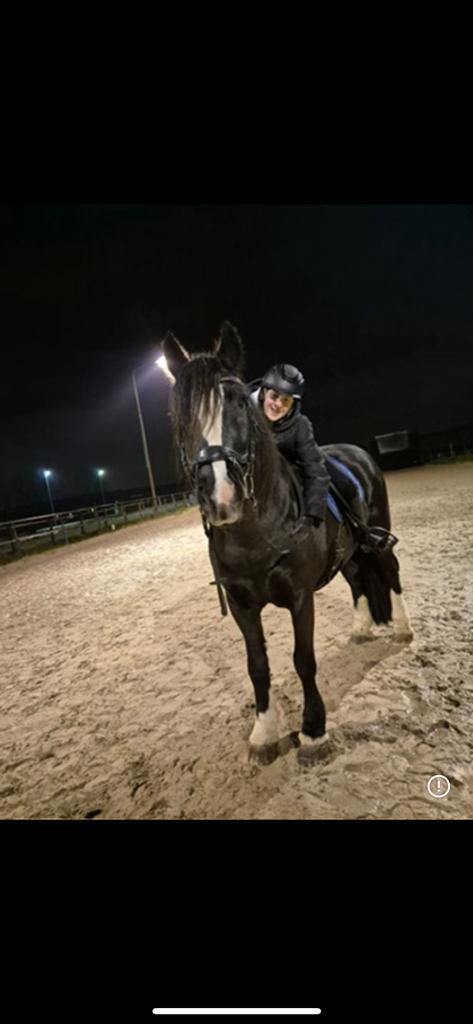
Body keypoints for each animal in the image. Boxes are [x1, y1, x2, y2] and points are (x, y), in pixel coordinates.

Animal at [162, 322, 413, 765]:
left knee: (389, 571)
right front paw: (264, 733)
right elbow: (257, 666)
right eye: (181, 413)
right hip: (349, 553)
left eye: (239, 405)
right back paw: (362, 628)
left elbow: (303, 659)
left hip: (378, 534)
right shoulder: (243, 605)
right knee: (356, 578)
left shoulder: (300, 596)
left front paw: (313, 731)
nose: (221, 497)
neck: (255, 534)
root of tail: (359, 453)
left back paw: (402, 628)